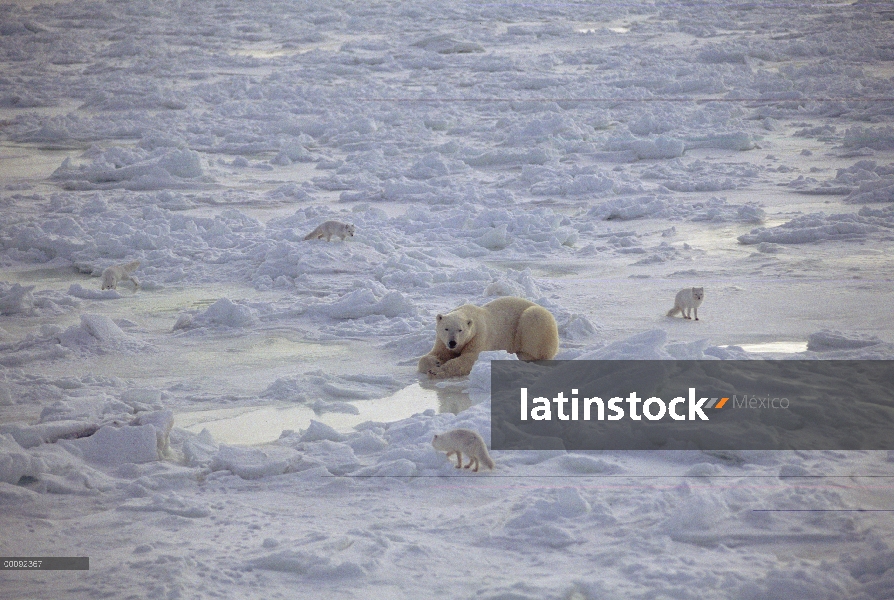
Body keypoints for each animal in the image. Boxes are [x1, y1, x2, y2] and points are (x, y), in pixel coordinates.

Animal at [416, 296, 556, 378]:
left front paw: (436, 371)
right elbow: (437, 353)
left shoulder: (479, 336)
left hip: (535, 322)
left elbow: (470, 358)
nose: (452, 342)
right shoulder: (442, 340)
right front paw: (436, 362)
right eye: (446, 328)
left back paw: (521, 355)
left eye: (460, 330)